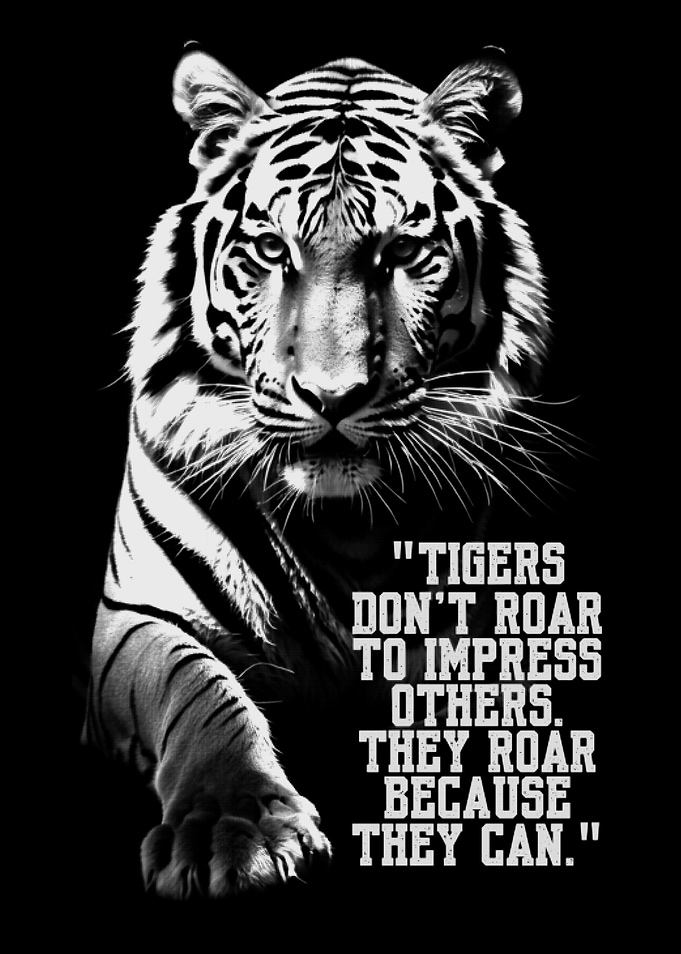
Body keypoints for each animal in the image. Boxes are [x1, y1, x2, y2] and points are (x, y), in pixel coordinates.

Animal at [84, 46, 550, 899]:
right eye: (272, 251)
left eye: (401, 253)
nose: (332, 398)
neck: (344, 525)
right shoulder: (133, 616)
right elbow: (199, 690)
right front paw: (228, 829)